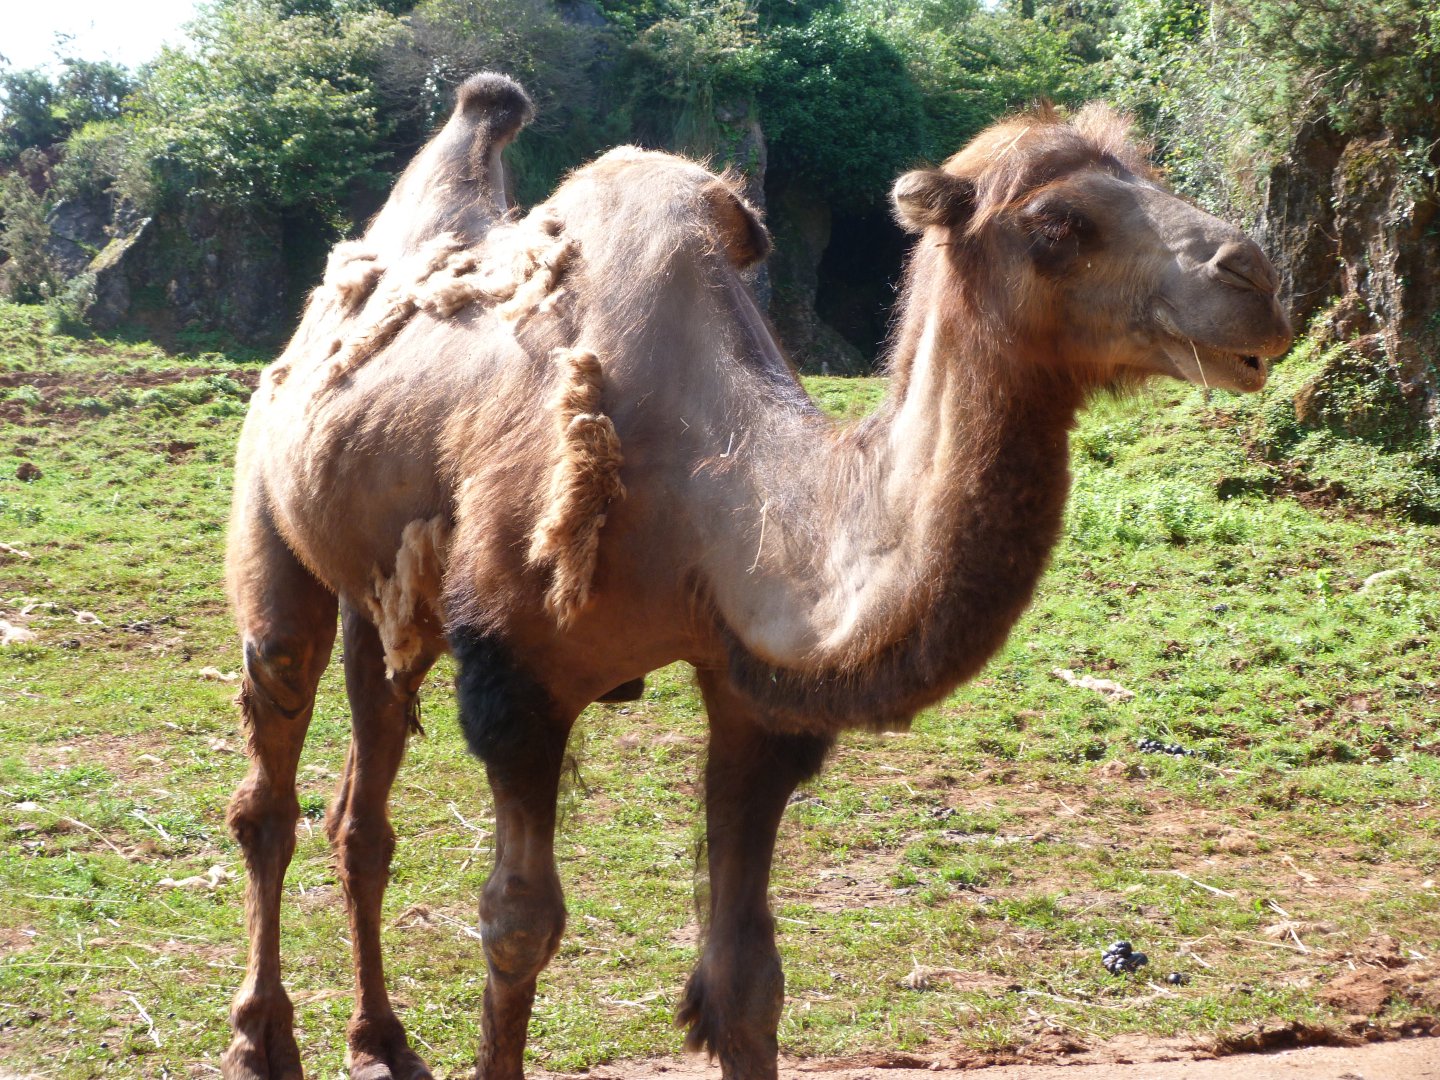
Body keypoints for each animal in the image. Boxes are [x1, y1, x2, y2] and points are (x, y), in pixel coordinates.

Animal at [221, 73, 1291, 1080]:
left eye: (1148, 174)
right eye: (1060, 225)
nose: (1259, 279)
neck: (707, 489)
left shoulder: (753, 696)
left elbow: (746, 976)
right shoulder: (516, 679)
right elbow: (518, 927)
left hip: (386, 597)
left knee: (363, 804)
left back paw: (379, 1041)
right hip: (269, 515)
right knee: (270, 776)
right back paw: (260, 1040)